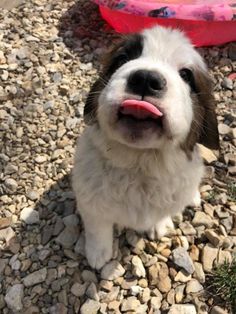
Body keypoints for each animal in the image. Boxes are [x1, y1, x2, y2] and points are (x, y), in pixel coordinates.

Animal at [72, 25, 219, 268]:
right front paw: (98, 253)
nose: (145, 78)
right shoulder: (90, 201)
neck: (140, 164)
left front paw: (159, 225)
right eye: (123, 58)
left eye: (186, 75)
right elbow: (98, 228)